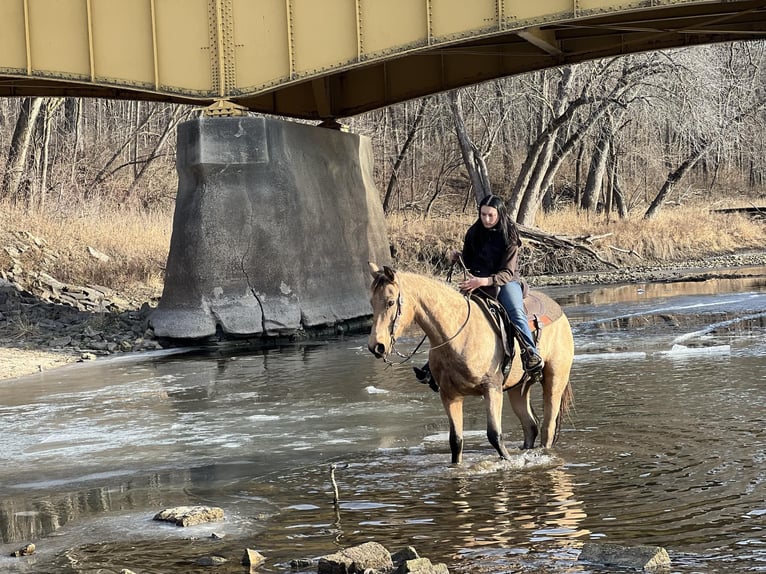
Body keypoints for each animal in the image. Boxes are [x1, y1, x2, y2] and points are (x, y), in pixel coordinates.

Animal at [368, 264, 576, 466]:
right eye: (371, 302)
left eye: (390, 302)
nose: (376, 346)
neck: (459, 334)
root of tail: (558, 309)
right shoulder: (449, 395)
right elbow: (456, 441)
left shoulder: (491, 388)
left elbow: (494, 435)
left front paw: (508, 461)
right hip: (518, 388)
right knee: (530, 426)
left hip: (554, 380)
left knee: (547, 428)